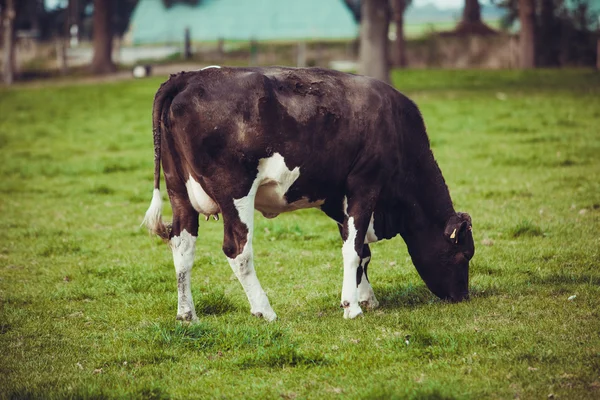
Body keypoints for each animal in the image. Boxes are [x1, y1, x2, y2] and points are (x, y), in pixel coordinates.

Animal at [143, 65, 476, 322]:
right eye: (463, 254)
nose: (463, 296)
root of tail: (188, 77)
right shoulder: (365, 184)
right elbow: (354, 249)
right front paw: (352, 307)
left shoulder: (339, 198)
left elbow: (360, 250)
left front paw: (365, 297)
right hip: (235, 192)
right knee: (237, 250)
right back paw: (265, 310)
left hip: (178, 191)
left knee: (182, 245)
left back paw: (187, 314)